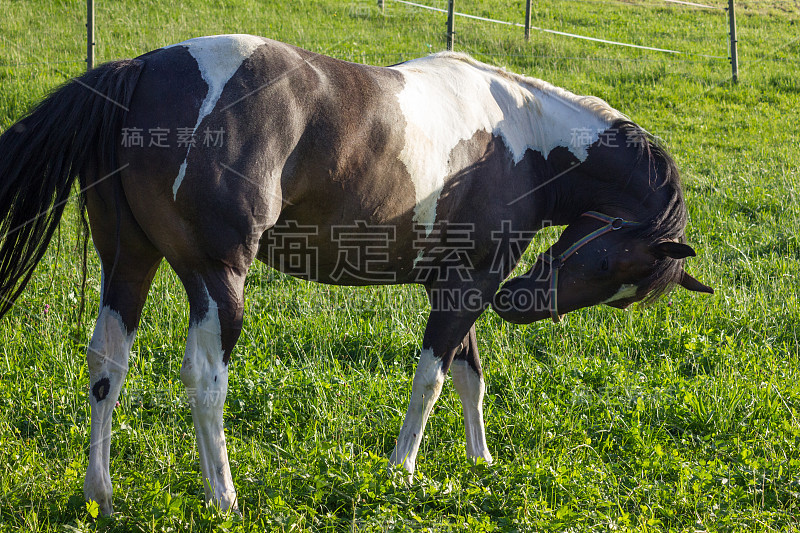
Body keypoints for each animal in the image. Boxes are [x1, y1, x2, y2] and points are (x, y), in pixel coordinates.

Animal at [0, 35, 712, 512]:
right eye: (608, 260)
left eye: (621, 292)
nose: (522, 304)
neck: (525, 138)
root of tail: (142, 70)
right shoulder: (471, 283)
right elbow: (432, 381)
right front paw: (403, 471)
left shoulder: (458, 283)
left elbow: (468, 376)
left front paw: (480, 461)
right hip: (216, 279)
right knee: (204, 378)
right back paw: (224, 498)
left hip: (129, 262)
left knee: (107, 364)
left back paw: (100, 495)